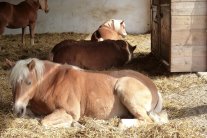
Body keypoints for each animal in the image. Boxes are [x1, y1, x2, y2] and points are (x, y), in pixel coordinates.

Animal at [9, 58, 168, 127]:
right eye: (12, 84)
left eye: (29, 82)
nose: (17, 110)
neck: (52, 83)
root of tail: (153, 88)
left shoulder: (70, 112)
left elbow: (44, 121)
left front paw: (74, 124)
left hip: (124, 89)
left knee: (147, 121)